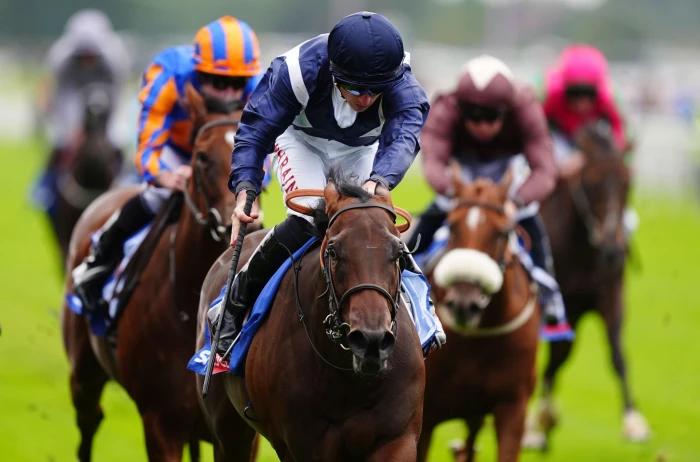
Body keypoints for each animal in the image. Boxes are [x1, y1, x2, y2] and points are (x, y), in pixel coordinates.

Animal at [61, 85, 249, 460]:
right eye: (202, 157)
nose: (230, 225)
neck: (191, 303)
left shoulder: (240, 436)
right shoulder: (161, 421)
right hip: (83, 374)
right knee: (89, 420)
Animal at [197, 175, 426, 460]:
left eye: (398, 253)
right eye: (333, 251)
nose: (371, 340)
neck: (348, 378)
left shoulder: (397, 438)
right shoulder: (304, 444)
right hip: (228, 430)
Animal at [524, 122, 652, 452]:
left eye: (627, 183)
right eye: (592, 183)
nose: (612, 250)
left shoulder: (610, 293)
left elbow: (617, 352)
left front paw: (634, 421)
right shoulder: (554, 304)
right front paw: (533, 426)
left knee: (558, 359)